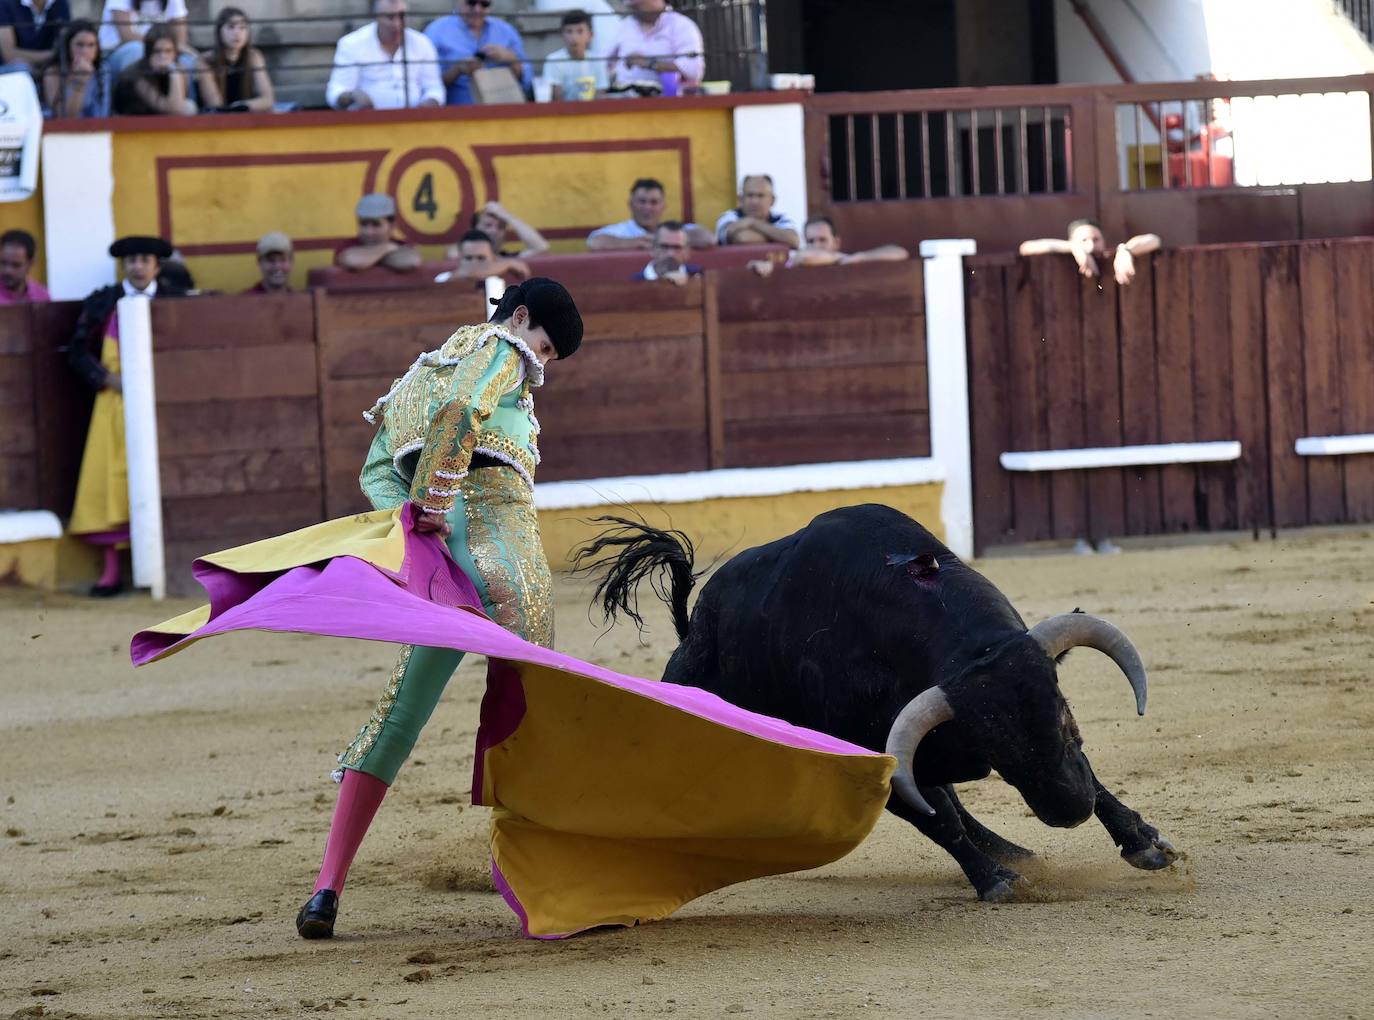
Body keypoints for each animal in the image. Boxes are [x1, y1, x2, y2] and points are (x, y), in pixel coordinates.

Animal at [574, 503, 1176, 901]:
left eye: (1066, 715)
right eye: (995, 749)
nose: (1069, 811)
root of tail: (691, 635)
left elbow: (1085, 774)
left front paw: (1144, 842)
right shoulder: (872, 756)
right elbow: (937, 821)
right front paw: (998, 882)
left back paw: (1018, 851)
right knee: (939, 809)